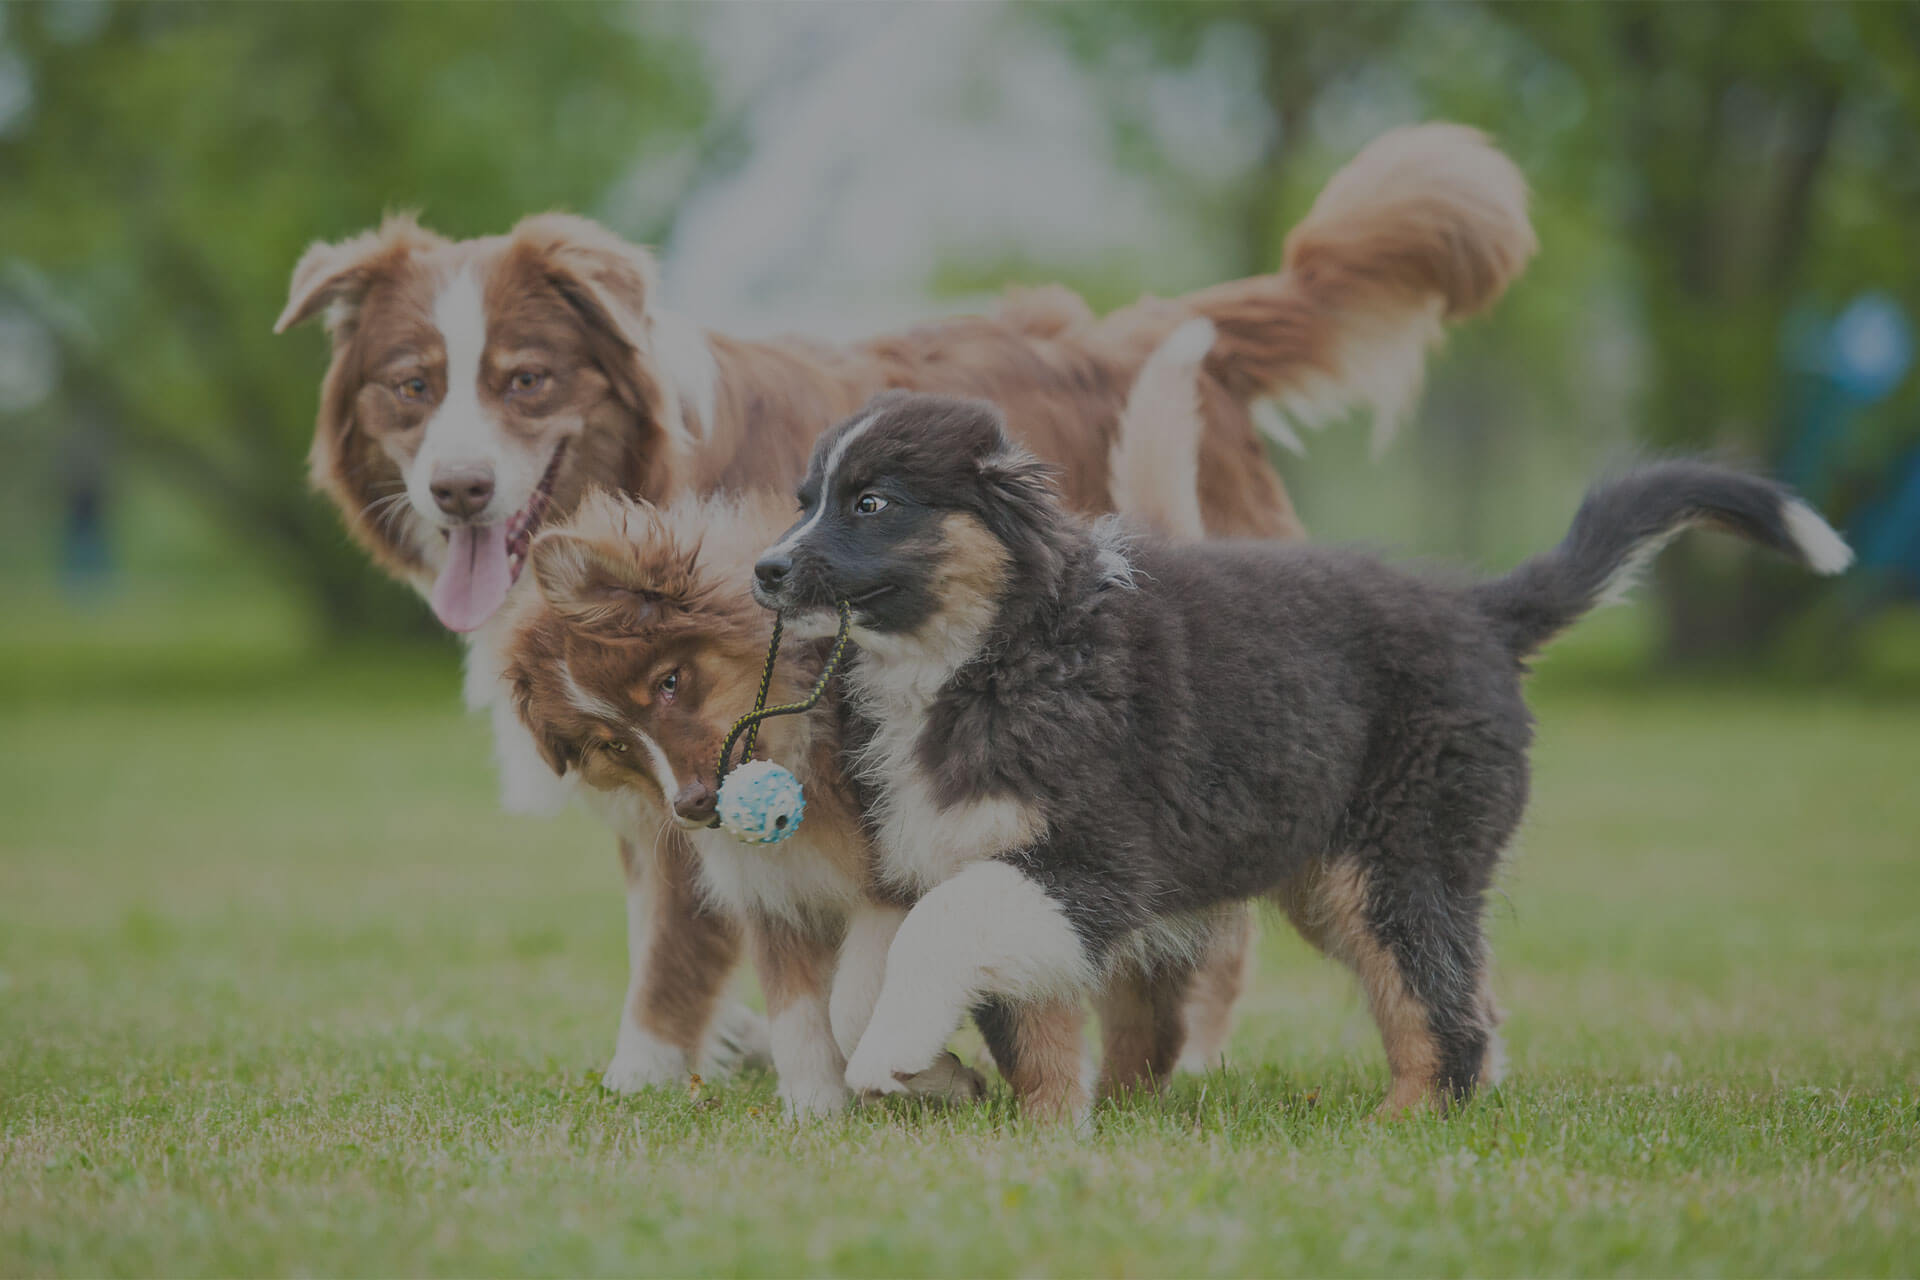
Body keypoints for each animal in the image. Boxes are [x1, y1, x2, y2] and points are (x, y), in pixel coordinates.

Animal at [278, 119, 1536, 1097]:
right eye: (412, 385)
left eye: (525, 379)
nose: (458, 487)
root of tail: (1160, 326)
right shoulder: (675, 807)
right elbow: (713, 942)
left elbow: (711, 957)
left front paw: (659, 1075)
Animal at [748, 395, 1843, 1113]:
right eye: (804, 496)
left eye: (873, 503)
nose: (764, 568)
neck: (984, 653)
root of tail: (1483, 611)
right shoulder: (934, 851)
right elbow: (866, 980)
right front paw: (956, 1081)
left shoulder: (1094, 861)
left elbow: (944, 934)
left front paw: (896, 1057)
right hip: (1334, 871)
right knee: (1468, 995)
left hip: (1403, 855)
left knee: (1440, 1006)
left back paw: (1406, 1128)